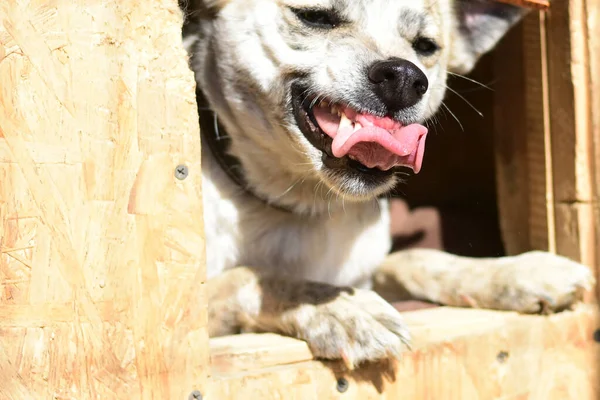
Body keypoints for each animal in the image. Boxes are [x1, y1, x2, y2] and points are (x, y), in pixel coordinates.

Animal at [180, 0, 592, 368]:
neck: (300, 203)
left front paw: (520, 272)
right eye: (315, 16)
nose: (405, 77)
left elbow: (417, 258)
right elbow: (254, 277)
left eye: (425, 46)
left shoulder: (368, 269)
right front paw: (342, 307)